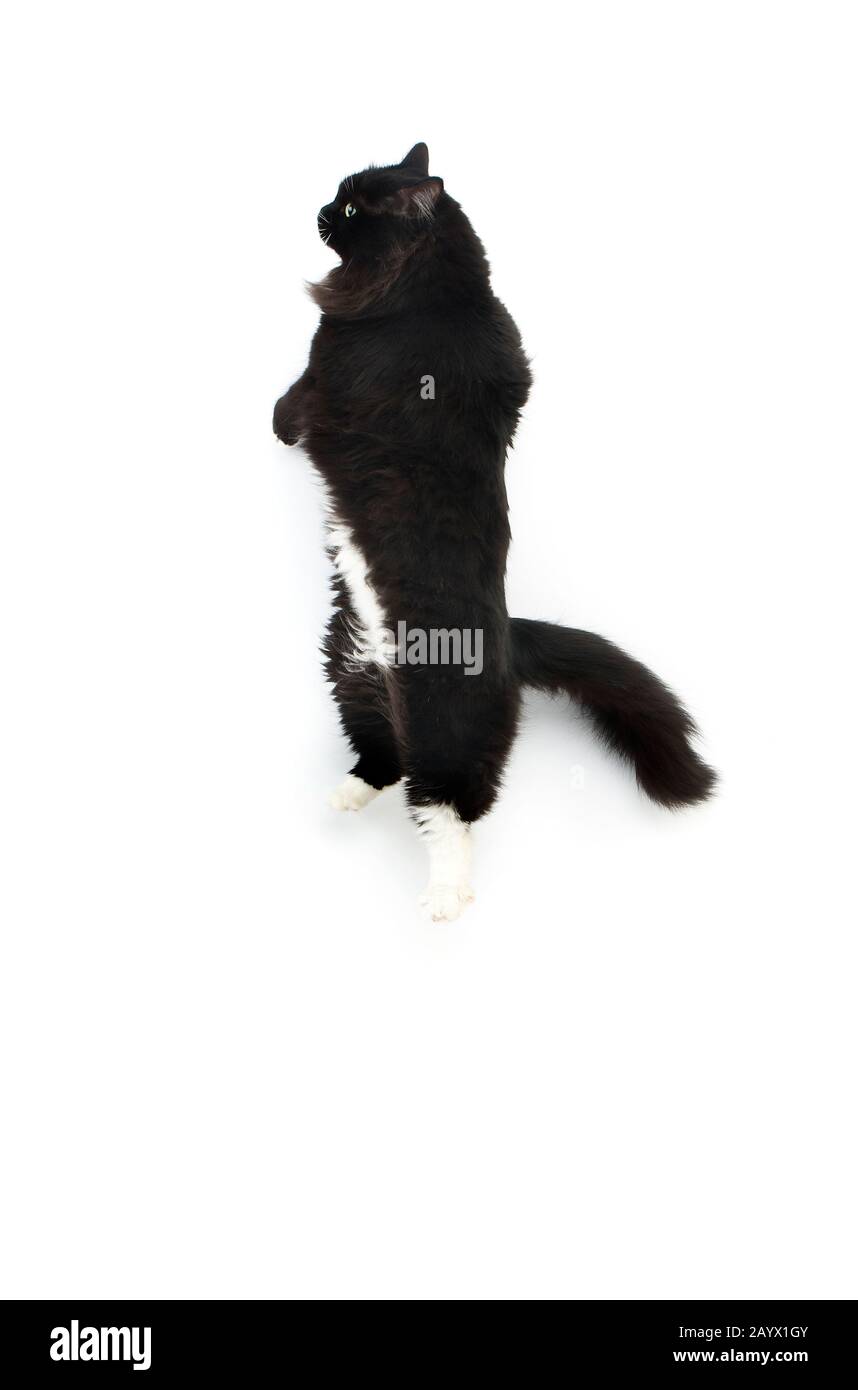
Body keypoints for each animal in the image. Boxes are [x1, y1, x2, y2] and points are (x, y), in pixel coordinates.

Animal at [273, 143, 717, 922]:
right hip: (351, 674)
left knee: (451, 810)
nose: (320, 210)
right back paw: (343, 799)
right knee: (383, 761)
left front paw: (275, 424)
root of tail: (510, 637)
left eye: (353, 208)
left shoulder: (325, 370)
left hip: (446, 730)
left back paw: (445, 899)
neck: (438, 293)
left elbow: (296, 399)